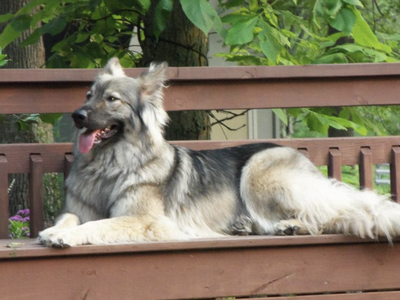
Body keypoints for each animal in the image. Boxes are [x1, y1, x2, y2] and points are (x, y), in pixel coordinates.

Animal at [38, 58, 400, 246]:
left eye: (111, 99)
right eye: (88, 95)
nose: (77, 116)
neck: (110, 162)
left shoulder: (146, 221)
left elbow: (97, 225)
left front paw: (67, 236)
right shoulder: (79, 208)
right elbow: (69, 217)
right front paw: (54, 230)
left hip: (260, 175)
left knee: (330, 214)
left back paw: (293, 226)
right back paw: (255, 227)